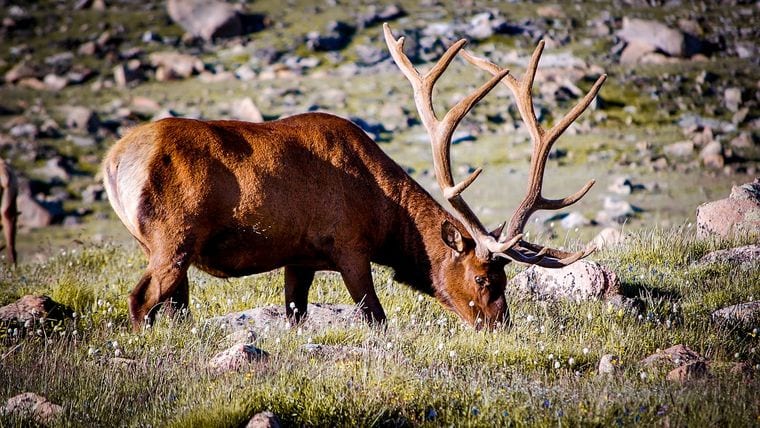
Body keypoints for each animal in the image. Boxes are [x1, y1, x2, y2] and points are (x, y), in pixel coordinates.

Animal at [102, 23, 606, 332]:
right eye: (484, 279)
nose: (500, 325)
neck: (385, 216)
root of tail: (113, 162)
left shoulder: (299, 258)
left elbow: (296, 313)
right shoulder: (349, 246)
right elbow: (376, 318)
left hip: (164, 247)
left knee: (173, 305)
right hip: (173, 236)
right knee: (140, 299)